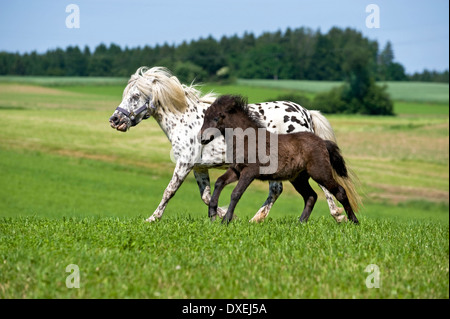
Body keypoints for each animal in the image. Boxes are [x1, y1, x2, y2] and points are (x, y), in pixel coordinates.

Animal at [199, 95, 360, 225]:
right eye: (205, 117)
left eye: (216, 118)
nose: (201, 138)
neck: (246, 139)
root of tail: (323, 142)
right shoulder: (236, 170)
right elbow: (219, 182)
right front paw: (212, 214)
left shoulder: (250, 171)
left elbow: (236, 193)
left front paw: (225, 220)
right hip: (298, 178)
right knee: (311, 196)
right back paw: (300, 222)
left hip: (320, 172)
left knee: (339, 191)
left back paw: (354, 221)